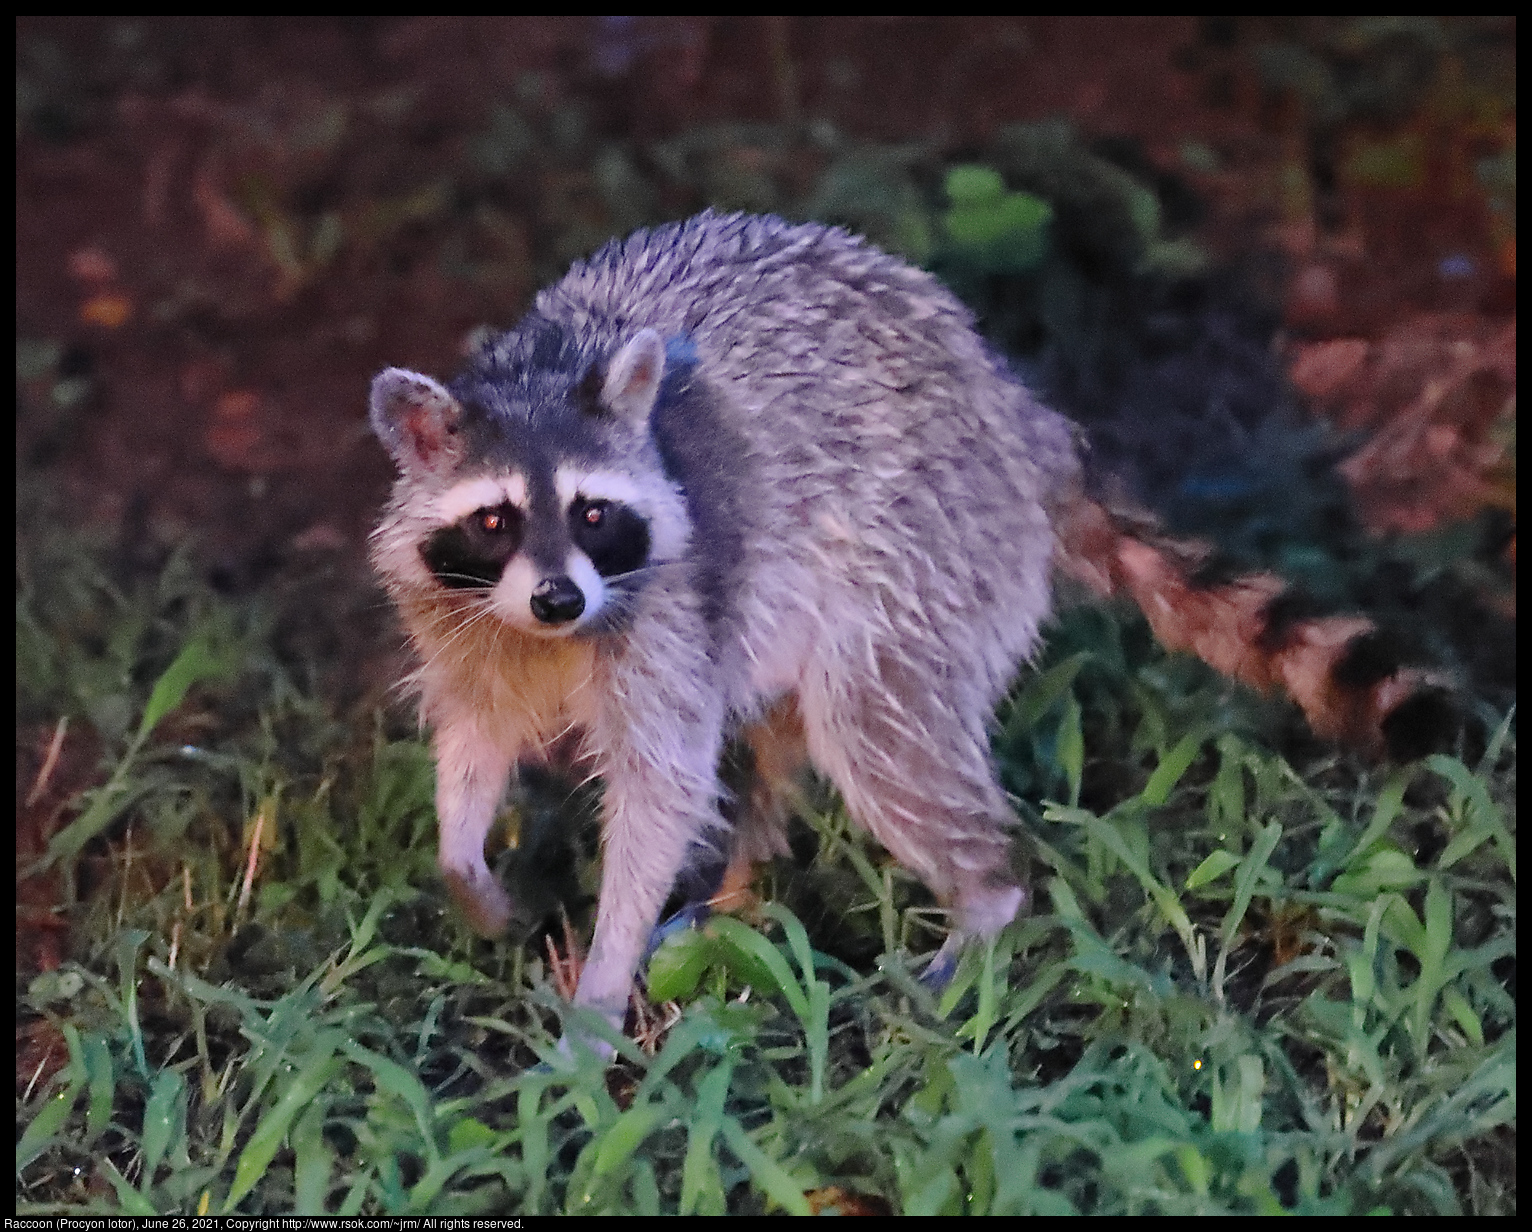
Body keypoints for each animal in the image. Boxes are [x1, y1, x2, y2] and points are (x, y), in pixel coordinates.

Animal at [364, 209, 1440, 1041]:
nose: (561, 600)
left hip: (928, 548)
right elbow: (473, 737)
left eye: (592, 512)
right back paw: (743, 886)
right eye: (496, 520)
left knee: (876, 727)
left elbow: (662, 788)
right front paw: (470, 874)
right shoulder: (460, 622)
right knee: (779, 730)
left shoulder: (669, 601)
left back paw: (983, 895)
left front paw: (600, 983)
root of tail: (1026, 425)